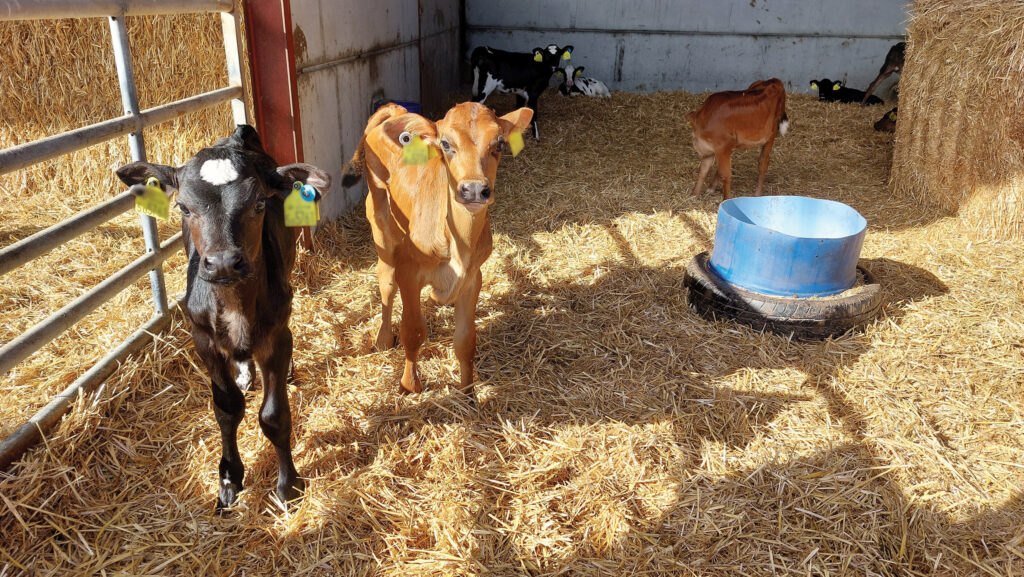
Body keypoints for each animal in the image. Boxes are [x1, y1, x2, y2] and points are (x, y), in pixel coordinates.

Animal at [116, 125, 331, 512]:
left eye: (259, 204)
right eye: (183, 207)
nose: (223, 263)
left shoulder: (277, 334)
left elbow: (274, 415)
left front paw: (288, 485)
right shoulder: (203, 339)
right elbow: (227, 407)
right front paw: (230, 477)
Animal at [341, 102, 532, 394]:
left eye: (499, 143)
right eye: (445, 143)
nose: (474, 189)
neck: (457, 244)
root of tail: (396, 110)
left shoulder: (473, 278)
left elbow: (465, 341)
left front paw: (468, 392)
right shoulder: (408, 271)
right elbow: (413, 331)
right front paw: (409, 385)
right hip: (379, 217)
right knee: (385, 280)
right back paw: (383, 338)